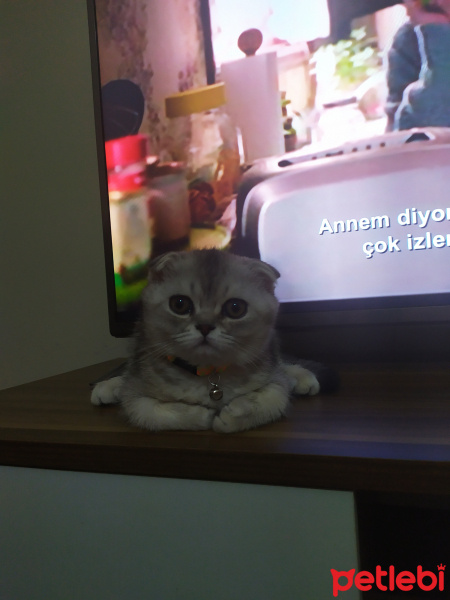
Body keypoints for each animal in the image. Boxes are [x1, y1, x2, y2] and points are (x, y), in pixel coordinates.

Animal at [92, 247, 338, 432]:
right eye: (179, 304)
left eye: (235, 308)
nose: (205, 326)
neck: (207, 374)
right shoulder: (136, 396)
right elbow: (155, 413)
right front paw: (201, 416)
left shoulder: (275, 383)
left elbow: (271, 399)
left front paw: (232, 416)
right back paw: (108, 387)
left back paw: (302, 376)